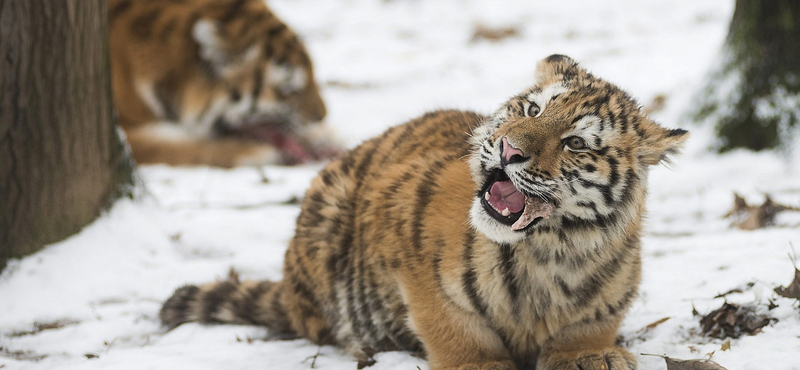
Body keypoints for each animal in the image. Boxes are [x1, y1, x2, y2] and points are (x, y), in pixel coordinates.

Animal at [106, 0, 338, 166]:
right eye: (288, 89)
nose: (322, 116)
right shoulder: (124, 129)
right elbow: (176, 144)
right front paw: (254, 152)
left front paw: (325, 135)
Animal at [161, 55, 688, 370]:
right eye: (533, 111)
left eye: (576, 142)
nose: (509, 149)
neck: (546, 251)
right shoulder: (410, 253)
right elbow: (452, 325)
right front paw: (478, 363)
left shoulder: (611, 289)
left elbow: (588, 324)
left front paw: (591, 356)